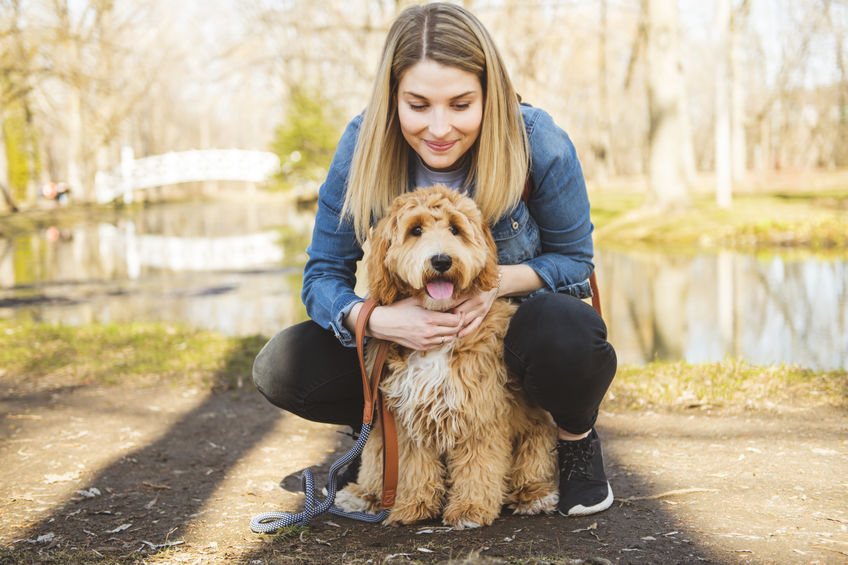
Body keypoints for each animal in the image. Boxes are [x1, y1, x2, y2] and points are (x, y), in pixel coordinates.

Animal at [334, 185, 560, 528]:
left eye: (455, 229)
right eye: (415, 230)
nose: (441, 260)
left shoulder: (479, 412)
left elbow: (478, 465)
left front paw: (469, 509)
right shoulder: (407, 416)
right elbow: (414, 467)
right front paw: (413, 505)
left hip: (534, 434)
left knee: (531, 466)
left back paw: (534, 494)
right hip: (380, 434)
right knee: (375, 462)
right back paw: (365, 496)